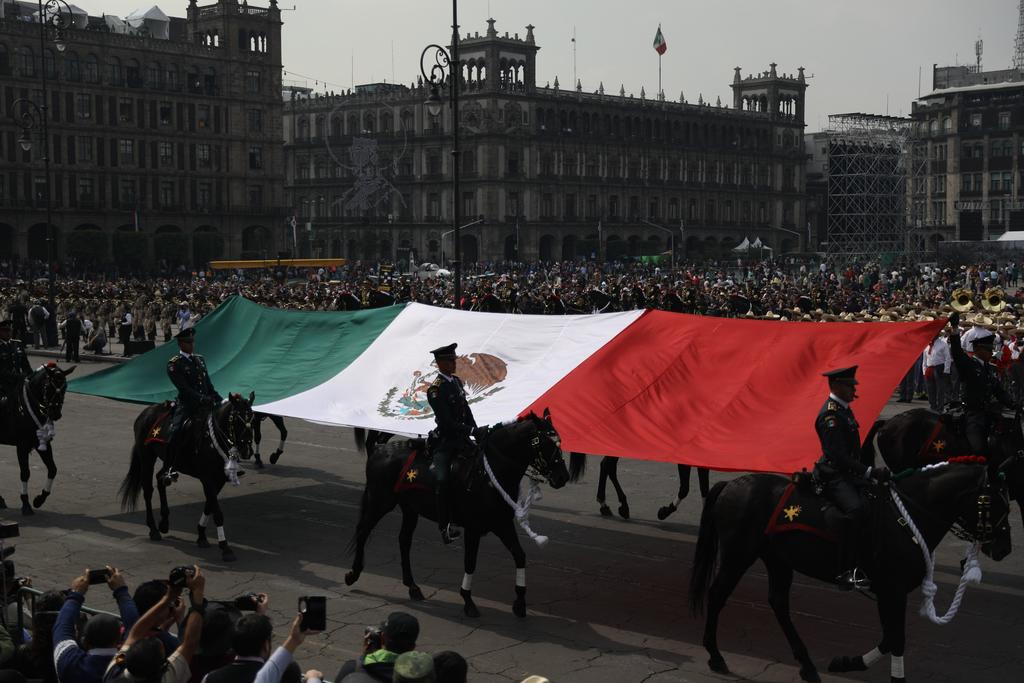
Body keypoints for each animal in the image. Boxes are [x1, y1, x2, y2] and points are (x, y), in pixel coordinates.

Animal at [0, 362, 74, 511]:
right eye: (47, 387)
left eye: (65, 387)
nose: (55, 413)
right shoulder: (22, 445)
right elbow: (25, 473)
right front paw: (25, 503)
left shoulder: (41, 442)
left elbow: (52, 469)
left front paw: (39, 499)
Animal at [118, 395, 256, 561]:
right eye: (235, 419)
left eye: (253, 419)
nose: (247, 450)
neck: (211, 440)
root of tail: (146, 412)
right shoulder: (207, 479)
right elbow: (217, 512)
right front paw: (225, 548)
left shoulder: (219, 480)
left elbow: (209, 505)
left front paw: (201, 535)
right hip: (147, 457)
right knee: (148, 490)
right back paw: (153, 529)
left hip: (169, 461)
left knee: (161, 479)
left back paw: (164, 523)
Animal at [350, 411, 577, 618]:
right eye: (546, 443)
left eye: (559, 441)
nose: (563, 477)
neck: (488, 475)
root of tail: (379, 450)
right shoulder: (473, 529)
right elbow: (470, 562)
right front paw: (468, 601)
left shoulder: (502, 524)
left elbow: (519, 555)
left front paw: (520, 602)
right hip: (380, 502)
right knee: (362, 531)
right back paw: (353, 573)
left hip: (409, 509)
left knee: (404, 541)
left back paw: (413, 587)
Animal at [569, 454, 704, 524]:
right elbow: (685, 488)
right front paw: (665, 511)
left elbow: (704, 491)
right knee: (608, 465)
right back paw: (621, 505)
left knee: (607, 465)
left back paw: (606, 505)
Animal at [692, 464, 1011, 683]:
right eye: (994, 502)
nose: (1004, 548)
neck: (905, 518)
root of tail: (732, 484)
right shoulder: (891, 591)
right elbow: (895, 638)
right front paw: (858, 665)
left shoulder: (889, 593)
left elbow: (890, 637)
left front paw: (846, 662)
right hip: (737, 556)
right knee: (717, 594)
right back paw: (715, 656)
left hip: (777, 560)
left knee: (778, 603)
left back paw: (807, 665)